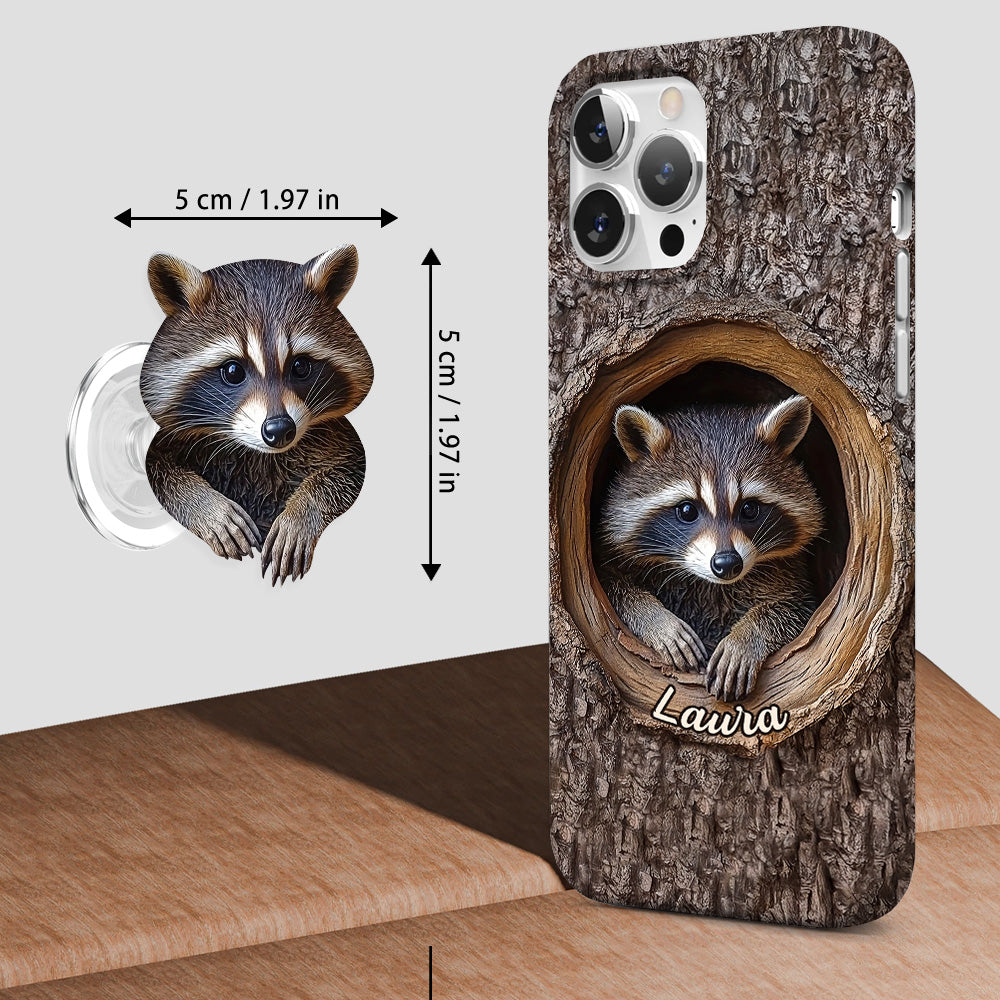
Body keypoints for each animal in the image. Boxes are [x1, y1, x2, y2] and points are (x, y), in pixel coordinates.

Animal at [140, 246, 373, 585]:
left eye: (301, 366)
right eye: (233, 371)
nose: (279, 429)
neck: (260, 455)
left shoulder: (335, 436)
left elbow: (348, 470)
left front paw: (301, 514)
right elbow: (159, 468)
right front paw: (208, 508)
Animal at [598, 395, 824, 702]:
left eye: (749, 509)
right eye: (687, 510)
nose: (727, 563)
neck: (710, 584)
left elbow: (793, 609)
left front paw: (746, 637)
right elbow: (613, 587)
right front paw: (656, 619)